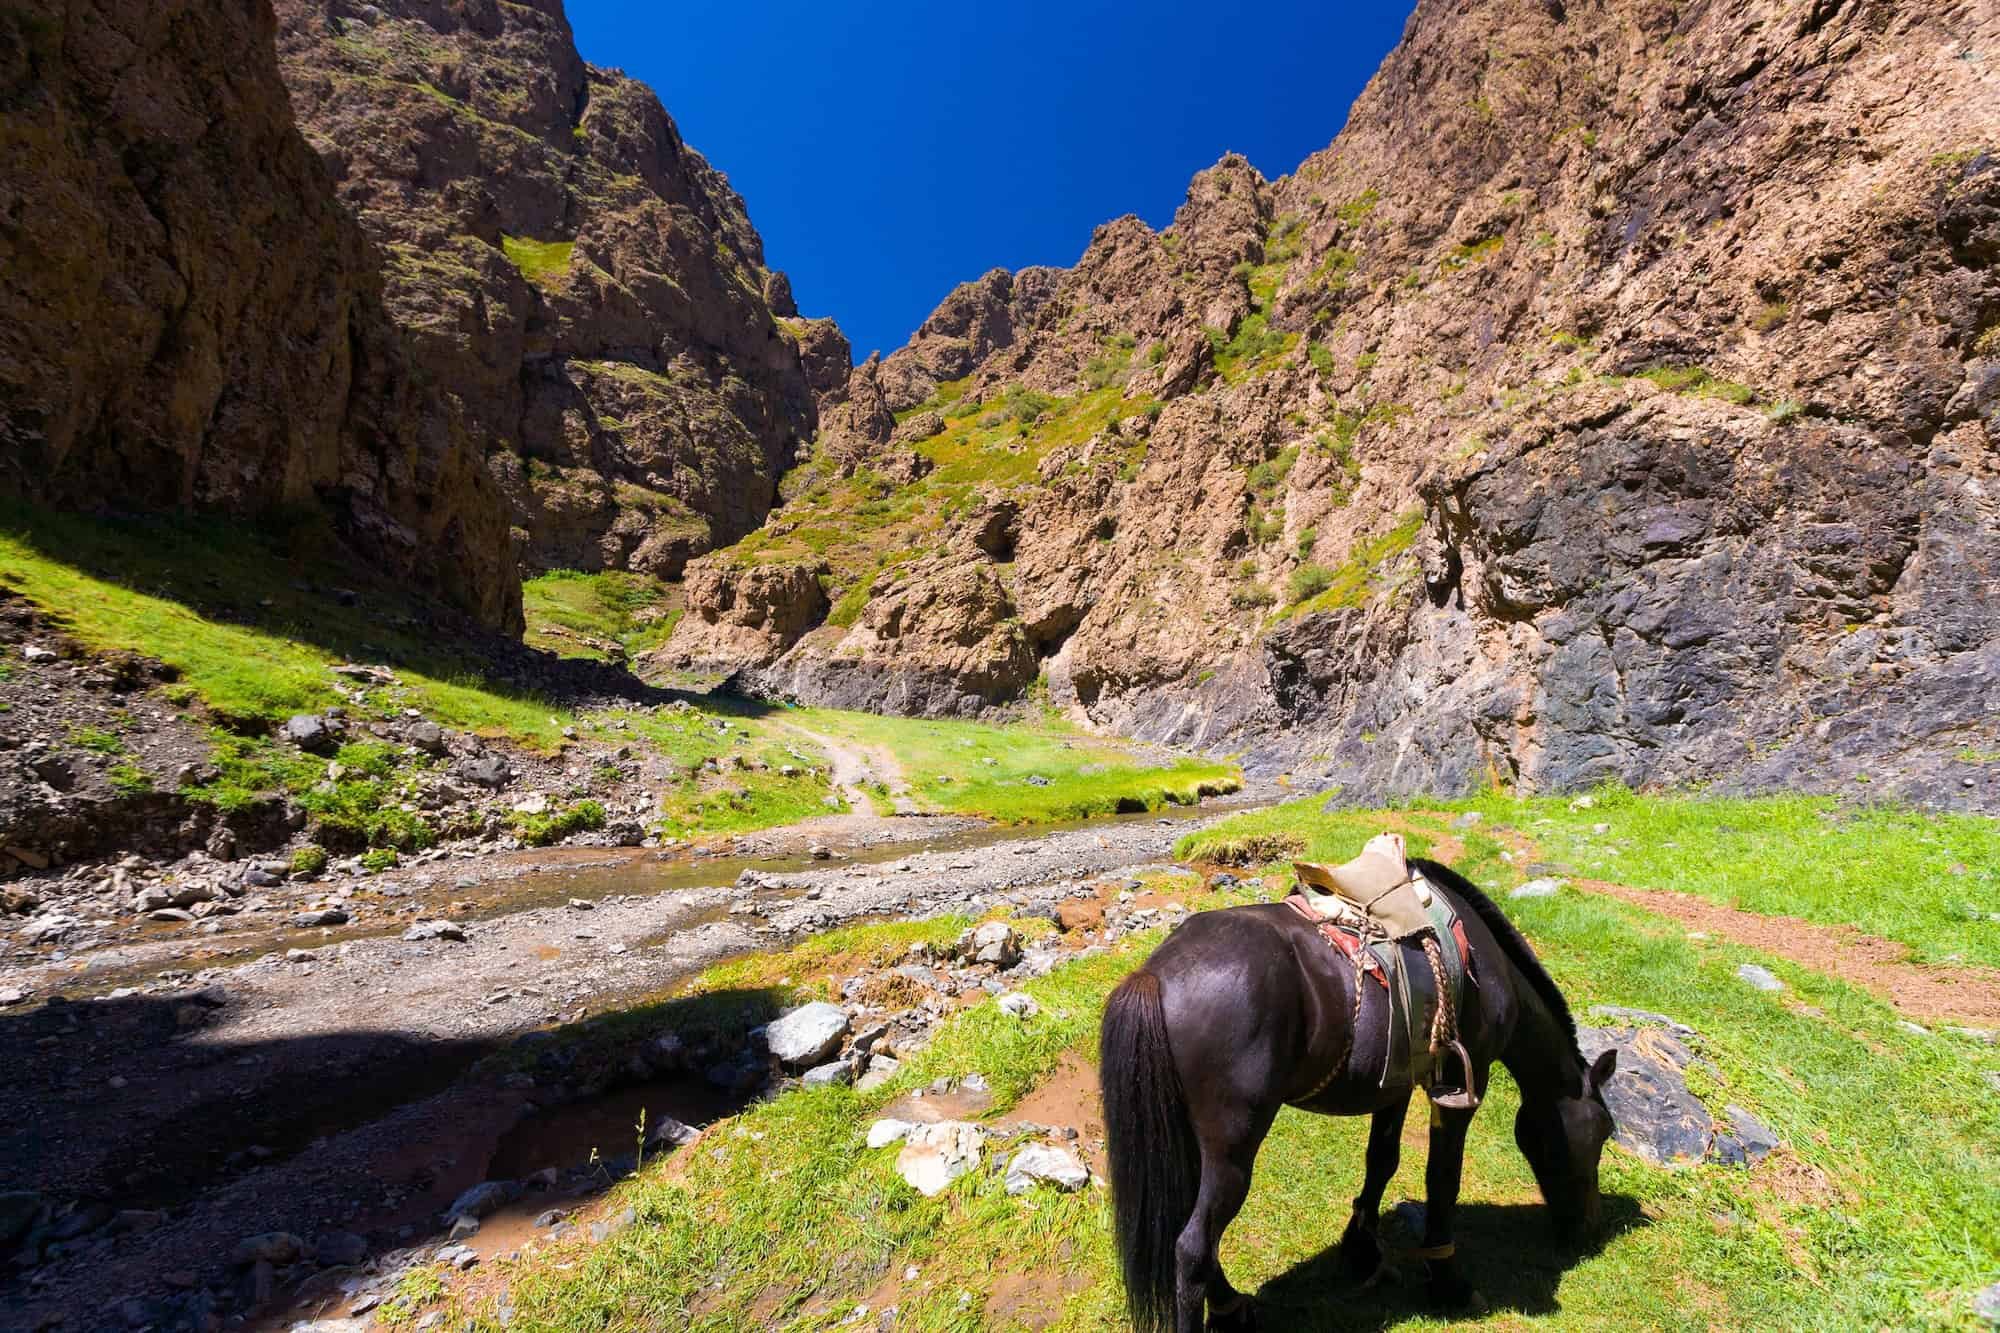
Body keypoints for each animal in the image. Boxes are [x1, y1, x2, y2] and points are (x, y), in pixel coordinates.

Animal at [1098, 857, 1617, 1332]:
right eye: (1604, 1132)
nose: (1589, 1231)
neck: (1487, 970)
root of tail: (1155, 975)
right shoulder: (1462, 1086)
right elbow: (1442, 1180)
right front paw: (1447, 1283)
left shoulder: (1397, 1085)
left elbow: (1382, 1160)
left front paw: (1362, 1250)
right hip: (1232, 1148)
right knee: (1191, 1249)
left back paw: (1231, 1304)